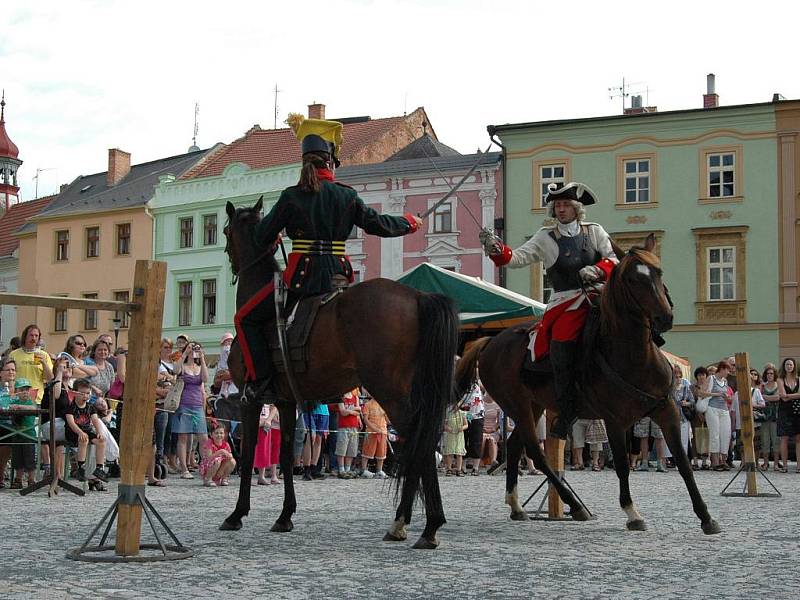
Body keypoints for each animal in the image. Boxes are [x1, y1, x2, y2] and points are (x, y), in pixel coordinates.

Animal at [222, 199, 460, 552]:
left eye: (225, 231)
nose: (231, 262)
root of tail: (418, 296)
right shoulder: (286, 401)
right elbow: (285, 453)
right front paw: (285, 515)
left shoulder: (250, 400)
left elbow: (251, 452)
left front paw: (237, 514)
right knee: (419, 442)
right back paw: (409, 522)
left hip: (389, 391)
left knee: (418, 444)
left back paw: (423, 525)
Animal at [454, 233, 720, 536]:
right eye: (632, 279)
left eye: (658, 271)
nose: (665, 318)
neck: (633, 355)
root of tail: (490, 342)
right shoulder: (615, 421)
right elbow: (622, 467)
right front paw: (632, 512)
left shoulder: (667, 411)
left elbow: (685, 464)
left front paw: (706, 516)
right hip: (517, 405)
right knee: (535, 451)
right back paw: (573, 505)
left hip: (533, 407)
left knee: (514, 444)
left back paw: (517, 506)